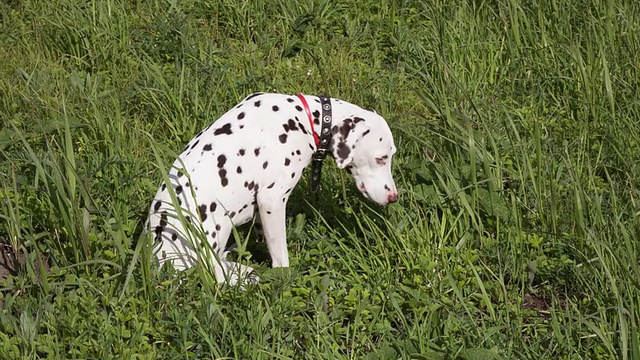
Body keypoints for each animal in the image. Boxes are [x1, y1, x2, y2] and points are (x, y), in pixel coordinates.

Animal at [149, 94, 398, 286]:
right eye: (381, 158)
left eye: (391, 155)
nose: (394, 197)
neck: (303, 119)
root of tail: (160, 264)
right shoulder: (272, 200)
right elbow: (281, 257)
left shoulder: (260, 209)